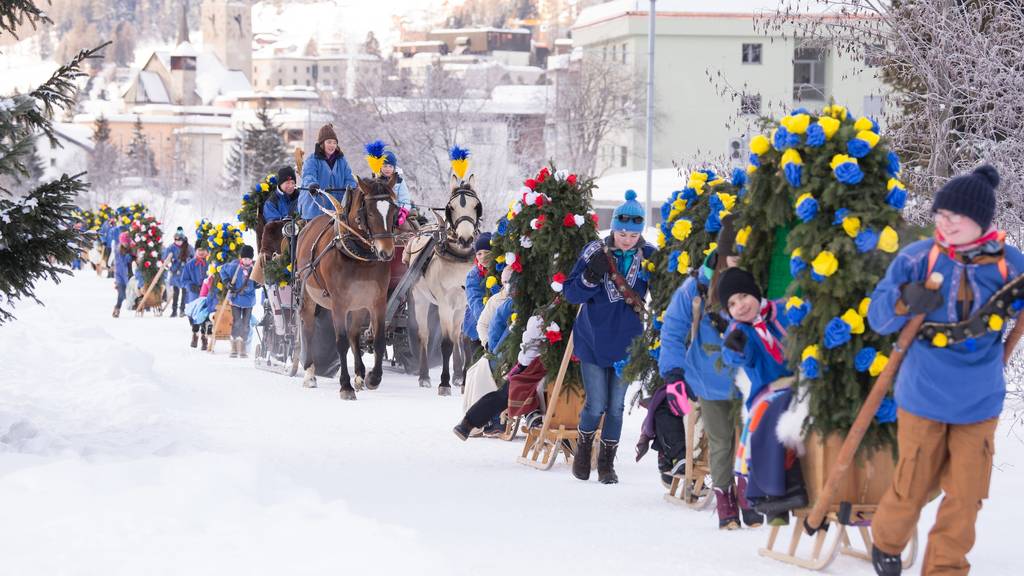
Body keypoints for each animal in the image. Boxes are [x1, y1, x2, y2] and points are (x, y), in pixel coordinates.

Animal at [294, 174, 397, 399]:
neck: (359, 255)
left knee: (353, 334)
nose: (387, 253)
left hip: (358, 304)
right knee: (308, 328)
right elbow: (340, 342)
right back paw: (310, 373)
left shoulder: (377, 301)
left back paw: (359, 374)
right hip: (308, 295)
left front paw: (372, 378)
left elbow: (377, 340)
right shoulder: (338, 303)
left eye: (394, 211)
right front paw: (345, 386)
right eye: (369, 213)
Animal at [403, 172, 483, 391]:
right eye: (451, 207)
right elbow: (445, 343)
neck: (458, 256)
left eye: (476, 206)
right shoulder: (445, 303)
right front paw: (444, 383)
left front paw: (462, 378)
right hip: (421, 300)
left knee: (455, 335)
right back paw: (424, 376)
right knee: (424, 334)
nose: (466, 239)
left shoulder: (465, 303)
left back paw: (456, 374)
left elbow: (463, 339)